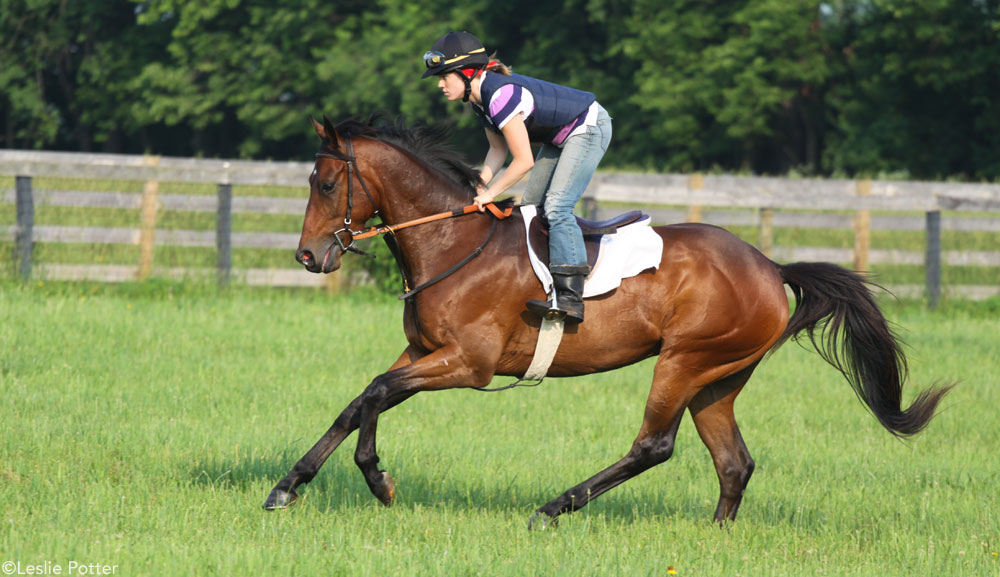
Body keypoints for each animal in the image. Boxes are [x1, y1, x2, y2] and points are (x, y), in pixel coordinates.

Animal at [262, 116, 948, 528]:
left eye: (326, 184)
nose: (308, 256)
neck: (451, 241)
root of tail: (770, 265)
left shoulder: (468, 364)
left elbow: (376, 393)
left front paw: (376, 480)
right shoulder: (422, 353)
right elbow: (361, 400)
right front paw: (292, 485)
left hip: (685, 360)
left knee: (654, 445)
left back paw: (552, 508)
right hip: (720, 378)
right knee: (734, 462)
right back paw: (717, 535)